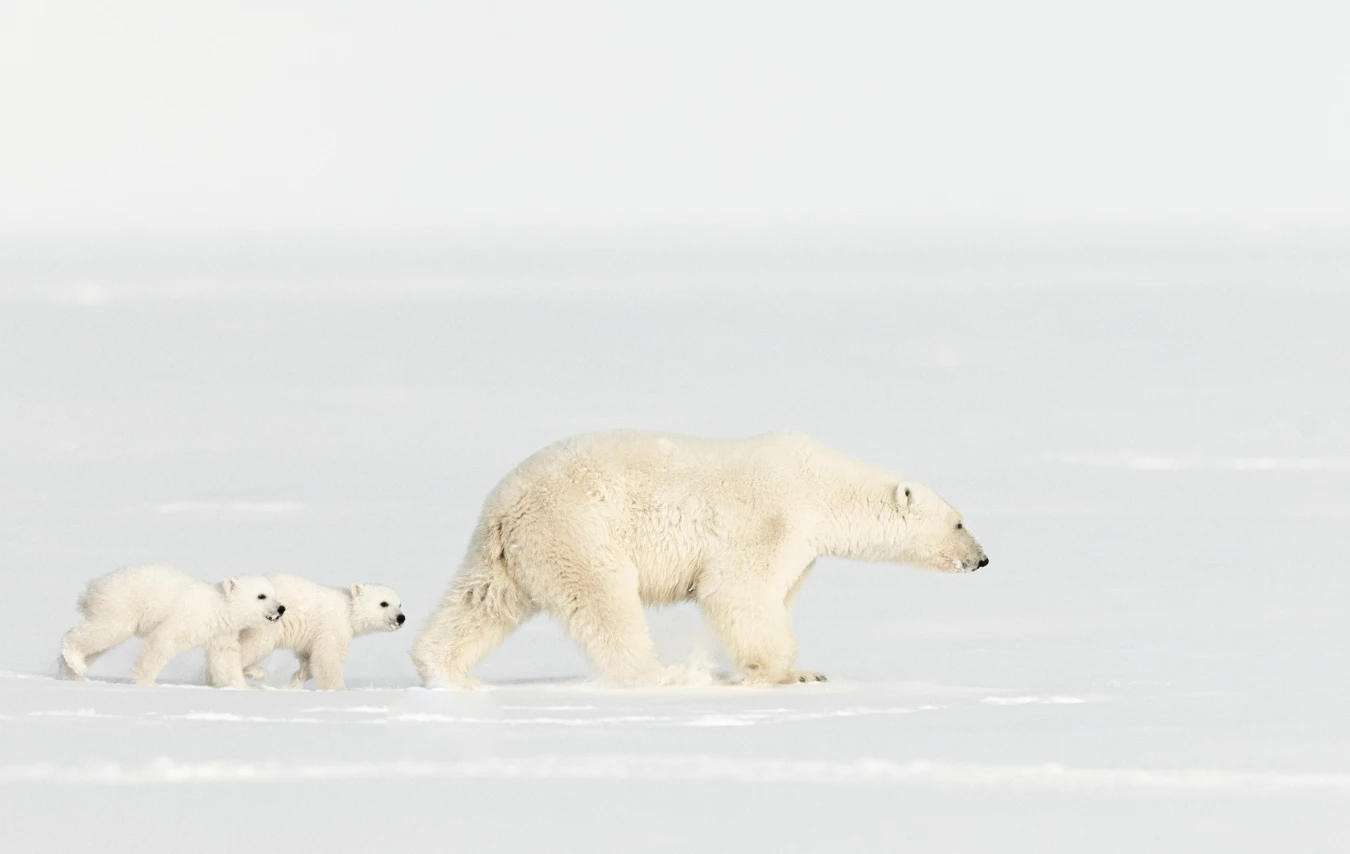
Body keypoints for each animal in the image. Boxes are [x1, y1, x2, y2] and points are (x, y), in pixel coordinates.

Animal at [59, 564, 284, 686]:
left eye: (274, 593)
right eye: (261, 596)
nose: (281, 608)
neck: (216, 606)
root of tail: (93, 587)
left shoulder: (220, 632)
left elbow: (225, 658)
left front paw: (243, 686)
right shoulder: (186, 619)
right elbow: (163, 641)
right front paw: (146, 681)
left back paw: (72, 672)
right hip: (122, 605)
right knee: (106, 631)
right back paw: (75, 659)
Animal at [205, 575, 406, 690]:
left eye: (400, 603)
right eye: (383, 603)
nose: (401, 618)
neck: (348, 610)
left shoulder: (311, 636)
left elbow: (309, 659)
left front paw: (296, 680)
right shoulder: (331, 626)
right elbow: (327, 659)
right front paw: (337, 690)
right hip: (264, 623)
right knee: (253, 646)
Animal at [411, 430, 989, 689]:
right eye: (960, 522)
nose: (982, 560)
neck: (819, 487)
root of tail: (504, 507)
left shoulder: (801, 549)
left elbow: (777, 596)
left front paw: (802, 672)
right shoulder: (769, 519)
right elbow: (738, 591)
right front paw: (779, 673)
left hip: (509, 554)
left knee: (480, 602)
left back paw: (445, 672)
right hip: (577, 532)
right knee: (606, 604)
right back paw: (664, 676)